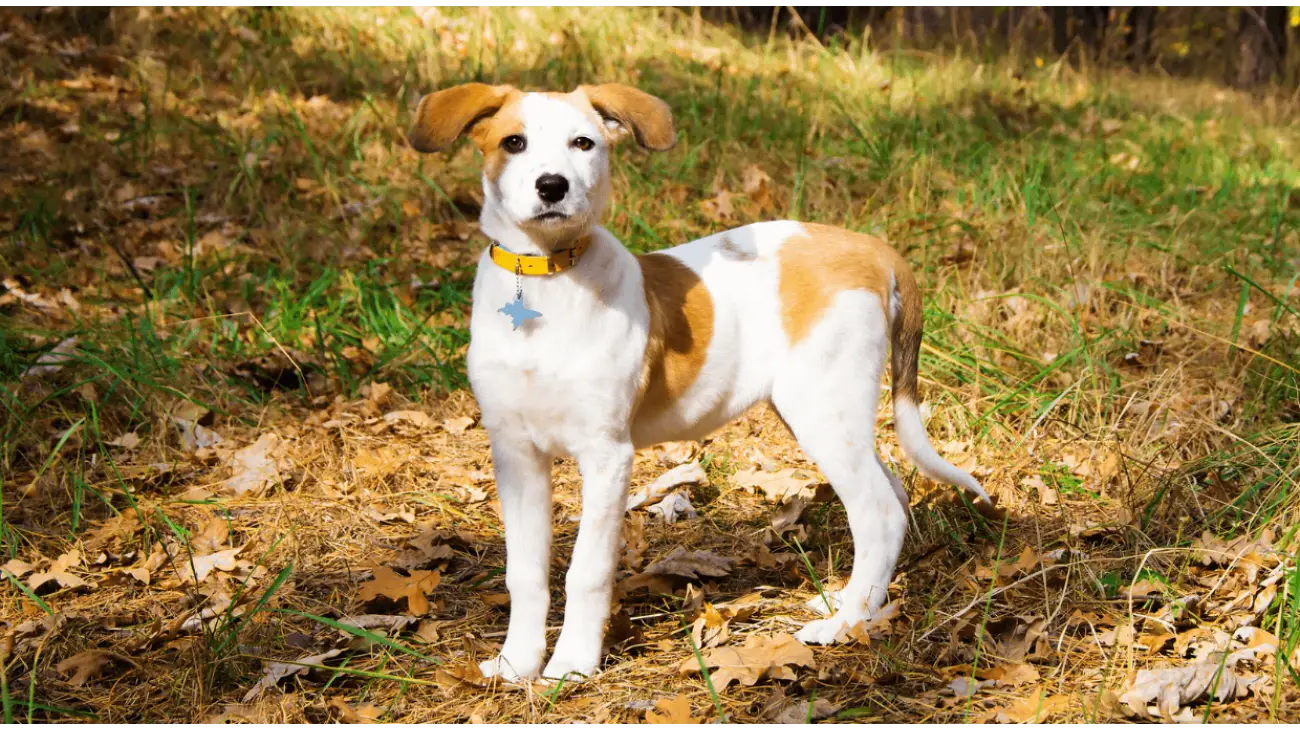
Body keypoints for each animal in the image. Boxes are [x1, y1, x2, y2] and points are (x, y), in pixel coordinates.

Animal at [405, 82, 982, 680]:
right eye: (512, 142)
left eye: (583, 143)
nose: (552, 186)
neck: (546, 279)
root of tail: (873, 249)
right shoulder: (516, 455)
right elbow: (525, 572)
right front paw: (517, 664)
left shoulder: (606, 455)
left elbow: (586, 570)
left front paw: (571, 666)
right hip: (823, 413)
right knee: (892, 492)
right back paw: (854, 603)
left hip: (823, 409)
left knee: (878, 510)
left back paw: (844, 625)